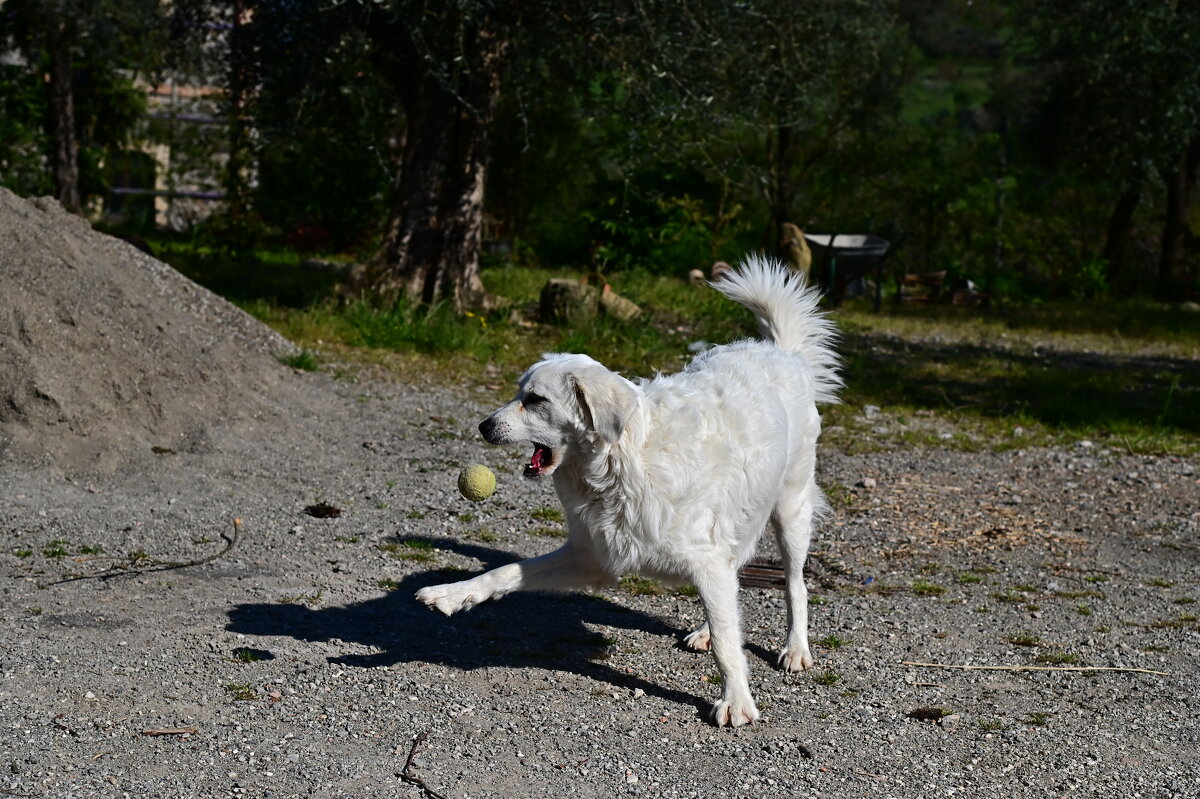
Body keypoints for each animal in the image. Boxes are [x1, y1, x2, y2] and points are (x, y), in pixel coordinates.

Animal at [417, 256, 840, 729]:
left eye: (536, 399)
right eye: (517, 392)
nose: (484, 426)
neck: (617, 466)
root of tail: (781, 353)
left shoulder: (705, 558)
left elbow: (731, 644)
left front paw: (736, 700)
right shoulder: (593, 557)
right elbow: (504, 573)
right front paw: (450, 595)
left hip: (790, 512)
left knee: (794, 584)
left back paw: (795, 647)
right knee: (735, 580)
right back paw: (706, 630)